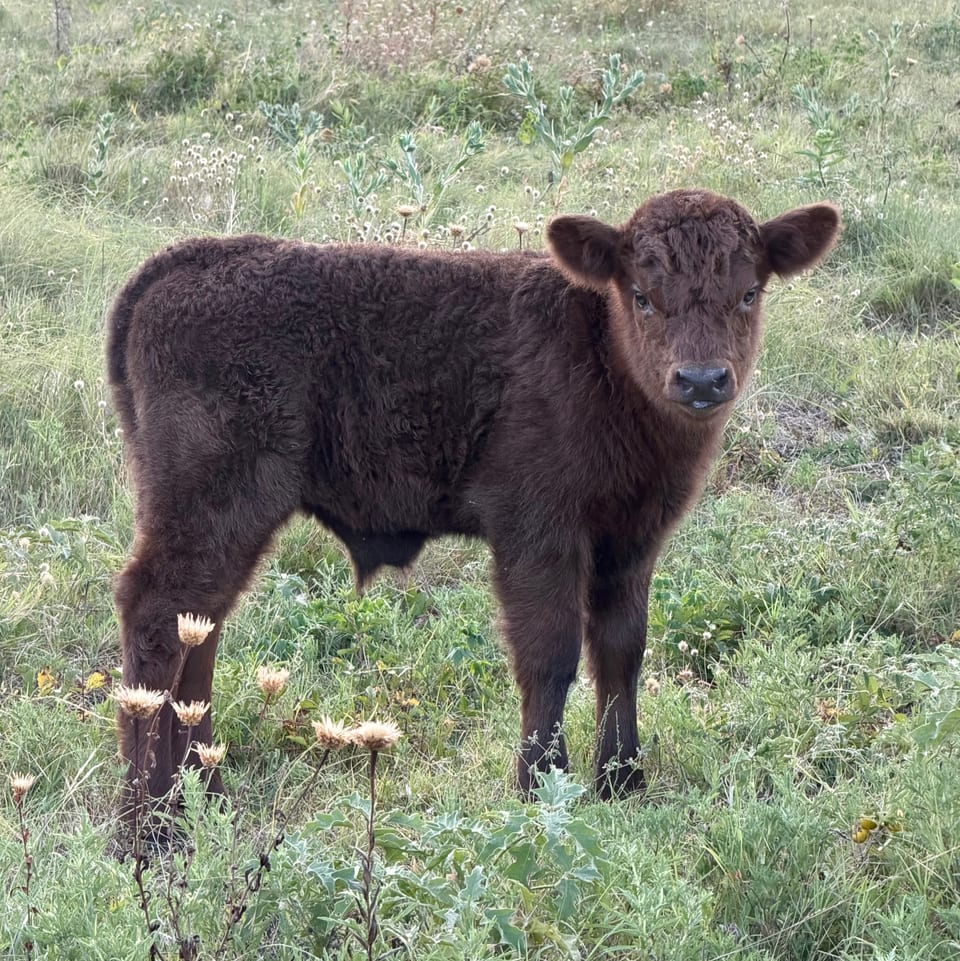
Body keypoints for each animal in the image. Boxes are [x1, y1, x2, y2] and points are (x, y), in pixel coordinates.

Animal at [107, 189, 839, 814]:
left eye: (748, 292)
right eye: (642, 295)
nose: (701, 380)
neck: (597, 346)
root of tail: (183, 263)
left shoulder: (632, 539)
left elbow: (620, 650)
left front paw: (622, 780)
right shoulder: (535, 531)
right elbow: (549, 653)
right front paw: (540, 785)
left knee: (199, 628)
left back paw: (204, 795)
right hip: (213, 505)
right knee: (158, 614)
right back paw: (151, 819)